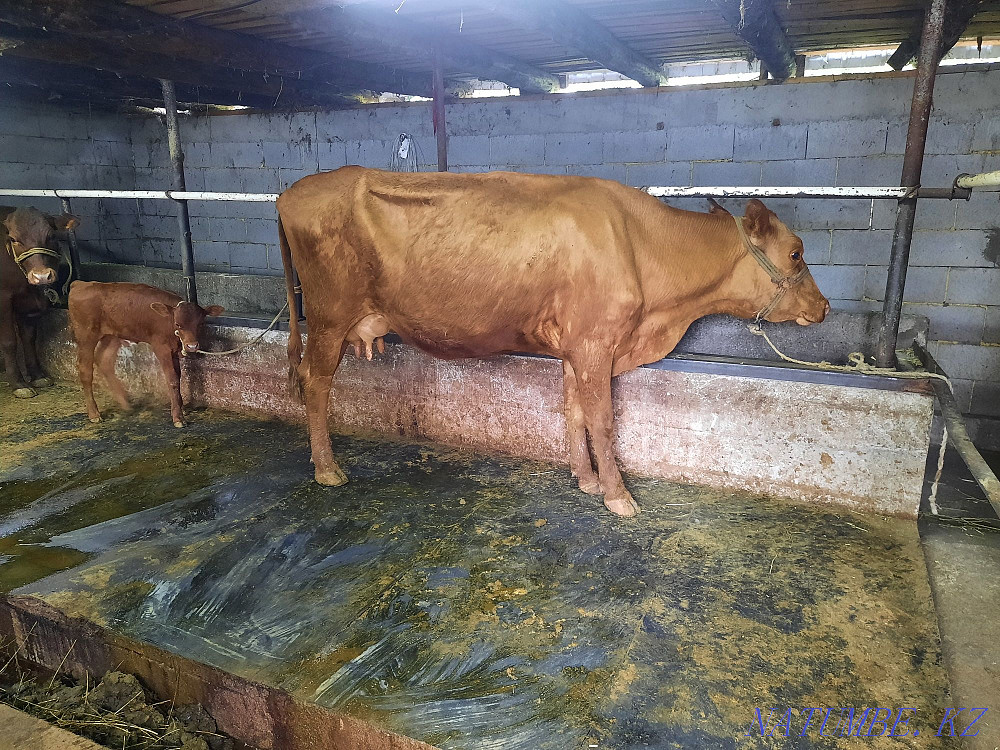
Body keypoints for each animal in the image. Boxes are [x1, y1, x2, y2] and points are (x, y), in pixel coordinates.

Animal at [1, 206, 77, 398]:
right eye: (13, 239)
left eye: (51, 236)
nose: (41, 276)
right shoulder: (3, 299)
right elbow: (9, 341)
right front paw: (18, 383)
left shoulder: (28, 304)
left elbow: (29, 338)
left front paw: (37, 376)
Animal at [68, 281, 223, 428]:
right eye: (178, 324)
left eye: (200, 323)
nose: (192, 346)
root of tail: (79, 284)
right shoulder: (162, 348)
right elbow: (172, 379)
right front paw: (178, 417)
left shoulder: (174, 351)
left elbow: (178, 377)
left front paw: (180, 406)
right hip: (86, 337)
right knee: (85, 371)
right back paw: (94, 413)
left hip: (112, 335)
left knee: (104, 360)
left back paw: (125, 404)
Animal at [276, 167, 829, 517]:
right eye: (796, 252)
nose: (824, 308)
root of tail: (292, 192)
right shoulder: (596, 345)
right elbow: (603, 421)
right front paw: (618, 497)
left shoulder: (577, 348)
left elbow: (575, 413)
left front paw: (585, 480)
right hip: (328, 319)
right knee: (315, 383)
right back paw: (328, 470)